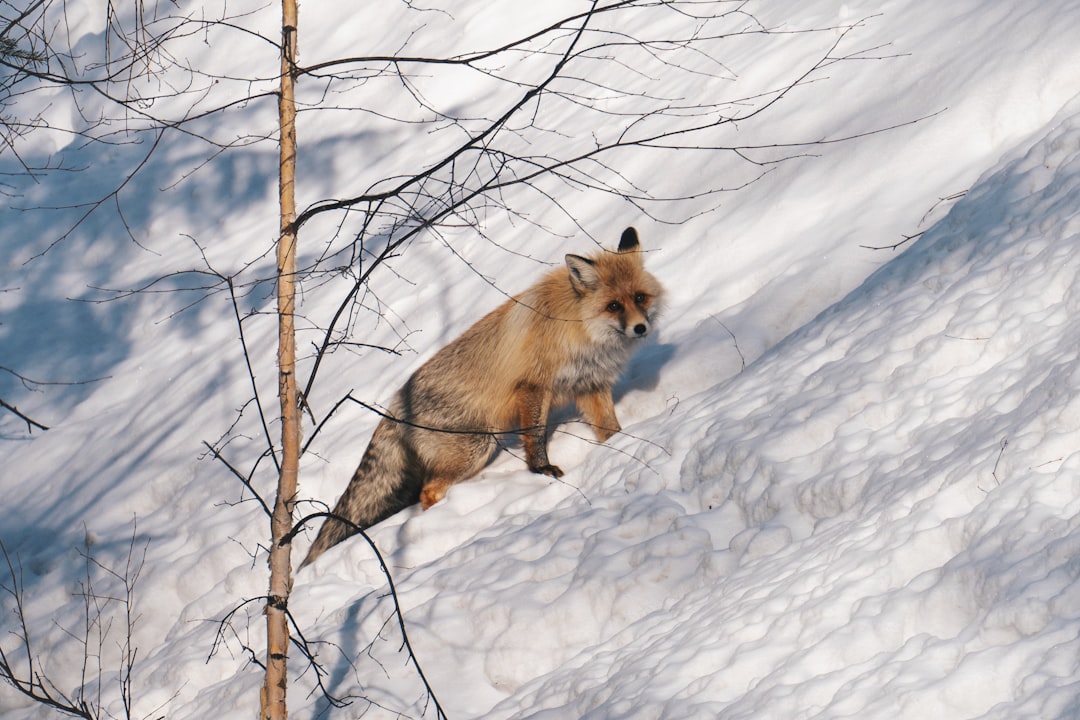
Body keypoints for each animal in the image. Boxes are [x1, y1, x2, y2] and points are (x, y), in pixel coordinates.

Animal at [300, 226, 664, 568]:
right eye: (613, 306)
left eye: (640, 298)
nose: (640, 329)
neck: (581, 329)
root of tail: (396, 401)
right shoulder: (533, 387)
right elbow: (536, 437)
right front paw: (541, 471)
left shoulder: (589, 384)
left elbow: (609, 429)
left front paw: (620, 445)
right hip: (476, 446)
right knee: (427, 492)